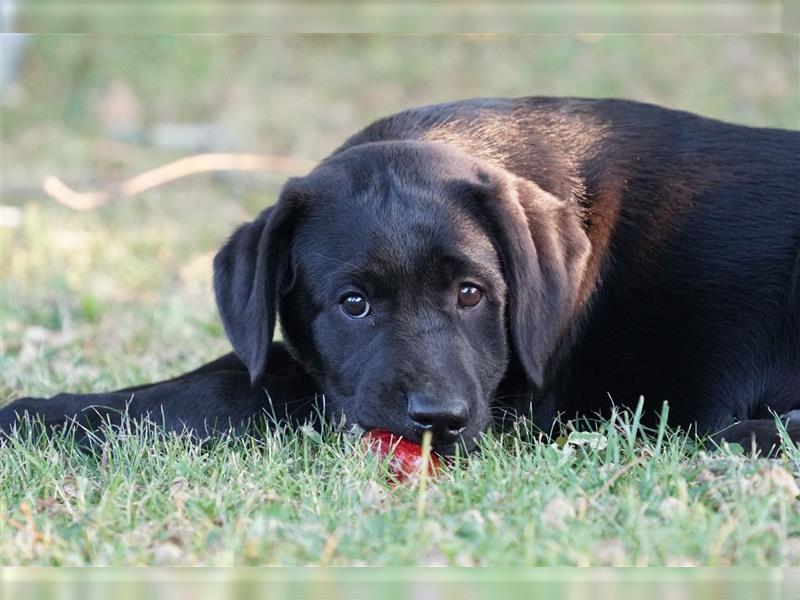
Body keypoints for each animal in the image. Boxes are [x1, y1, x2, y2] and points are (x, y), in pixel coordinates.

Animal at [1, 97, 800, 454]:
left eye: (473, 295)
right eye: (352, 304)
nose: (438, 420)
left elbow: (232, 388)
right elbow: (234, 367)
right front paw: (49, 408)